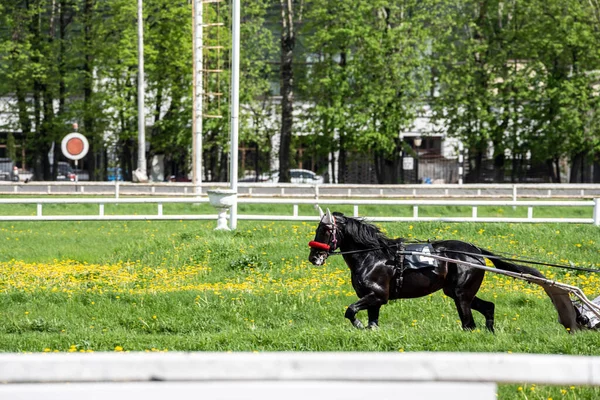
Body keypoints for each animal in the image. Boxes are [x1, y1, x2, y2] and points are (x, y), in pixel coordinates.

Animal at [308, 211, 580, 332]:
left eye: (325, 230)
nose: (314, 257)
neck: (374, 256)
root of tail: (475, 251)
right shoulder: (374, 298)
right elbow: (372, 321)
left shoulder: (377, 295)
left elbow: (350, 311)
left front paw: (357, 324)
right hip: (459, 292)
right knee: (487, 308)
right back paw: (490, 333)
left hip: (461, 294)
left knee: (469, 323)